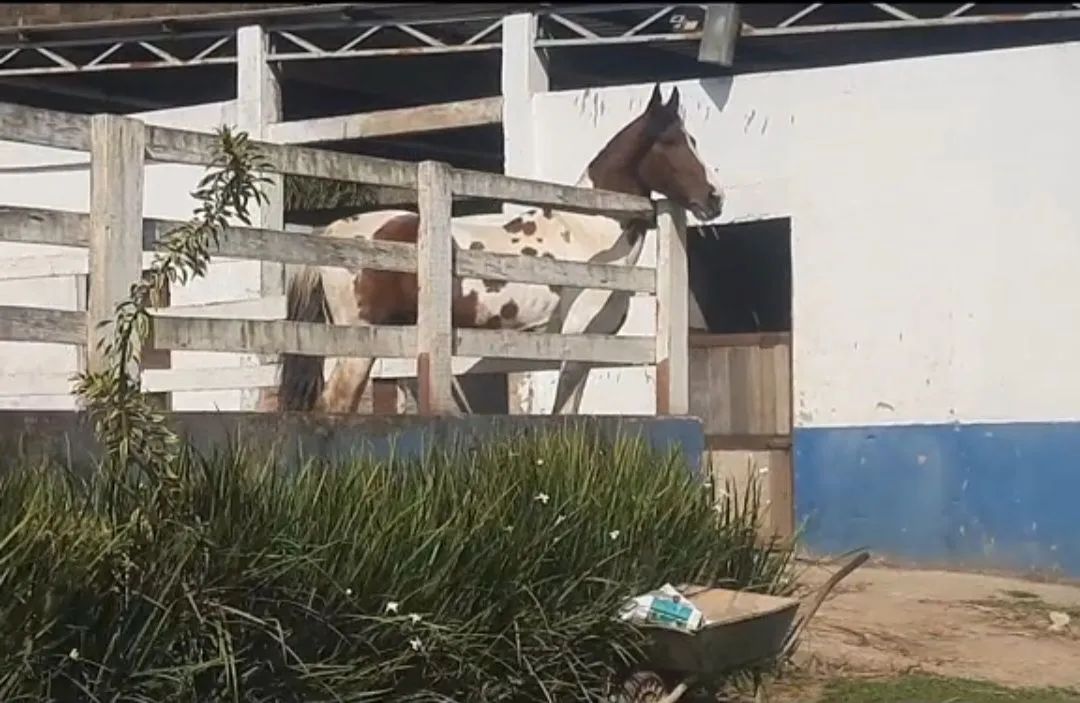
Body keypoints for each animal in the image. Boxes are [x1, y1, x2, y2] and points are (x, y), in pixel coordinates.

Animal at [271, 83, 724, 415]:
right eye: (672, 141)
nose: (715, 198)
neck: (589, 234)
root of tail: (333, 231)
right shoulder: (577, 340)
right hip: (357, 344)